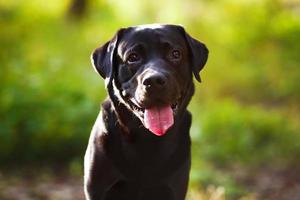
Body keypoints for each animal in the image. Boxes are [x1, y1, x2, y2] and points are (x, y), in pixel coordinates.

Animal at [83, 24, 207, 199]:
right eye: (133, 57)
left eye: (175, 54)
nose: (154, 80)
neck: (147, 139)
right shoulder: (98, 189)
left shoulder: (173, 189)